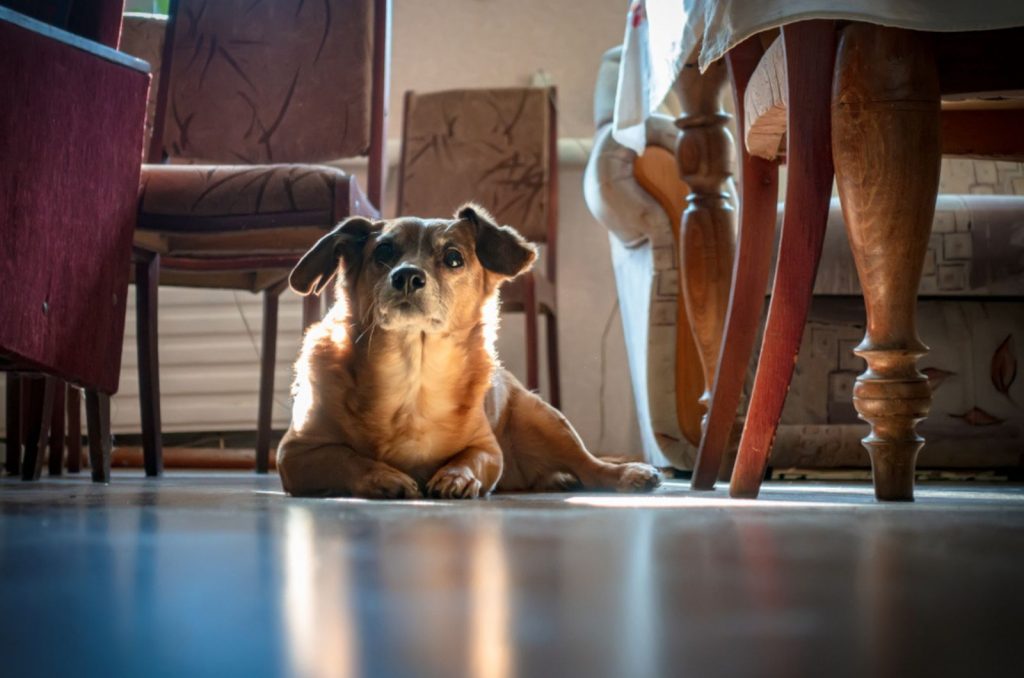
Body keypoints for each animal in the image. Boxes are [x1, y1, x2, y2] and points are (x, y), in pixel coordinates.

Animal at [278, 205, 663, 499]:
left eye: (453, 258)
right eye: (383, 252)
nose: (407, 276)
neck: (414, 371)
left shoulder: (488, 449)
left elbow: (470, 458)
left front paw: (457, 476)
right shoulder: (295, 455)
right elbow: (347, 459)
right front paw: (385, 476)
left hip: (544, 418)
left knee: (589, 465)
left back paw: (629, 473)